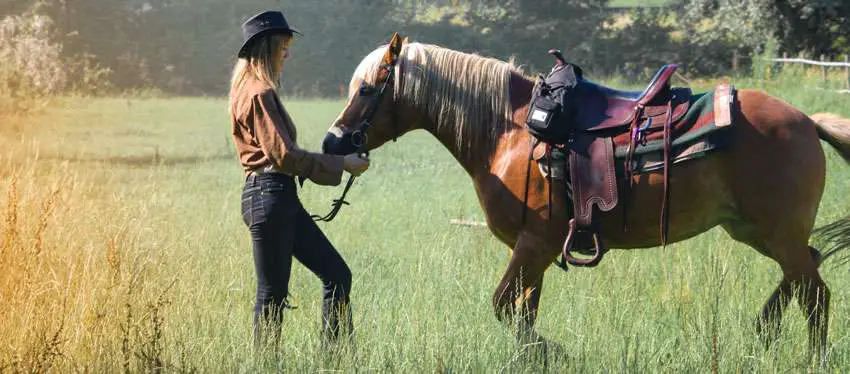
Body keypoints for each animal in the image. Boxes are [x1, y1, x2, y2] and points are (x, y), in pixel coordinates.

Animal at [320, 35, 848, 360]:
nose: (332, 141)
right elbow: (521, 311)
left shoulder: (535, 244)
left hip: (776, 233)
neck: (510, 131)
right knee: (805, 272)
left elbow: (504, 306)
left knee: (815, 292)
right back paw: (763, 332)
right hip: (754, 230)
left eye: (367, 89)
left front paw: (552, 353)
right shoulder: (531, 250)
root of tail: (806, 120)